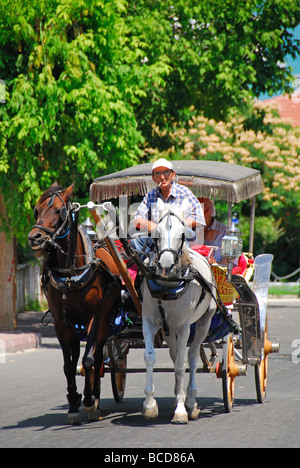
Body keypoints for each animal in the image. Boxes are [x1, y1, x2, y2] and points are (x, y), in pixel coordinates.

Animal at [27, 182, 121, 424]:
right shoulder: (61, 323)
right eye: (36, 210)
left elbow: (88, 361)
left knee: (96, 357)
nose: (34, 238)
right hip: (74, 325)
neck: (71, 273)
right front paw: (72, 404)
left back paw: (93, 398)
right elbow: (69, 366)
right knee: (77, 355)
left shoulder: (94, 318)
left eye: (59, 211)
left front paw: (88, 401)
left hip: (105, 320)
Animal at [142, 197, 217, 424]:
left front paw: (181, 409)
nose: (165, 264)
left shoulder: (184, 327)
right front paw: (150, 404)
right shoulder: (149, 321)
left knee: (191, 357)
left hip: (203, 322)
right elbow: (150, 356)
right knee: (176, 354)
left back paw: (190, 401)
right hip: (169, 329)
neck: (168, 284)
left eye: (182, 233)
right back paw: (179, 393)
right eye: (156, 233)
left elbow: (182, 364)